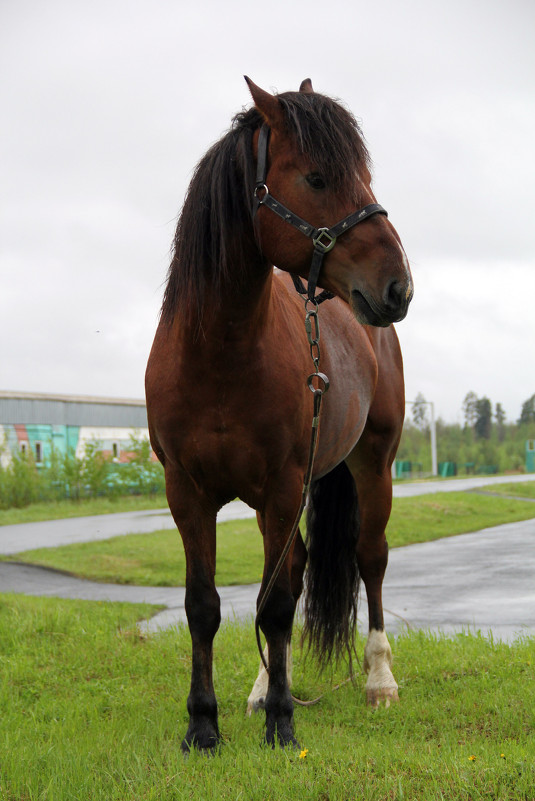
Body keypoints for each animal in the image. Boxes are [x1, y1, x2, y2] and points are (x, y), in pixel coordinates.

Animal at [146, 76, 414, 752]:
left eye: (362, 174)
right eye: (317, 178)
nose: (398, 286)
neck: (220, 354)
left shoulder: (281, 487)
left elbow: (274, 607)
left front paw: (283, 724)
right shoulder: (186, 493)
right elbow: (205, 606)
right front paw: (204, 726)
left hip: (372, 464)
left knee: (368, 558)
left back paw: (378, 681)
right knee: (292, 571)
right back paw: (264, 687)